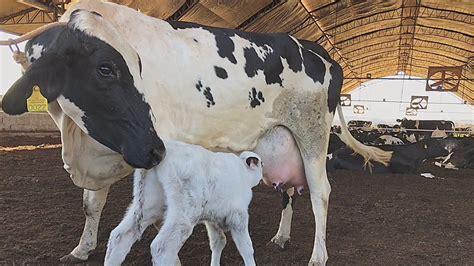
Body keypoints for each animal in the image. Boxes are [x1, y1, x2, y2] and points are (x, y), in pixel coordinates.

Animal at [103, 140, 262, 264]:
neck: (245, 174)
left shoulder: (211, 218)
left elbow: (218, 242)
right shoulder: (238, 216)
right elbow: (247, 248)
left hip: (148, 204)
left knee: (120, 237)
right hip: (183, 213)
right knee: (161, 248)